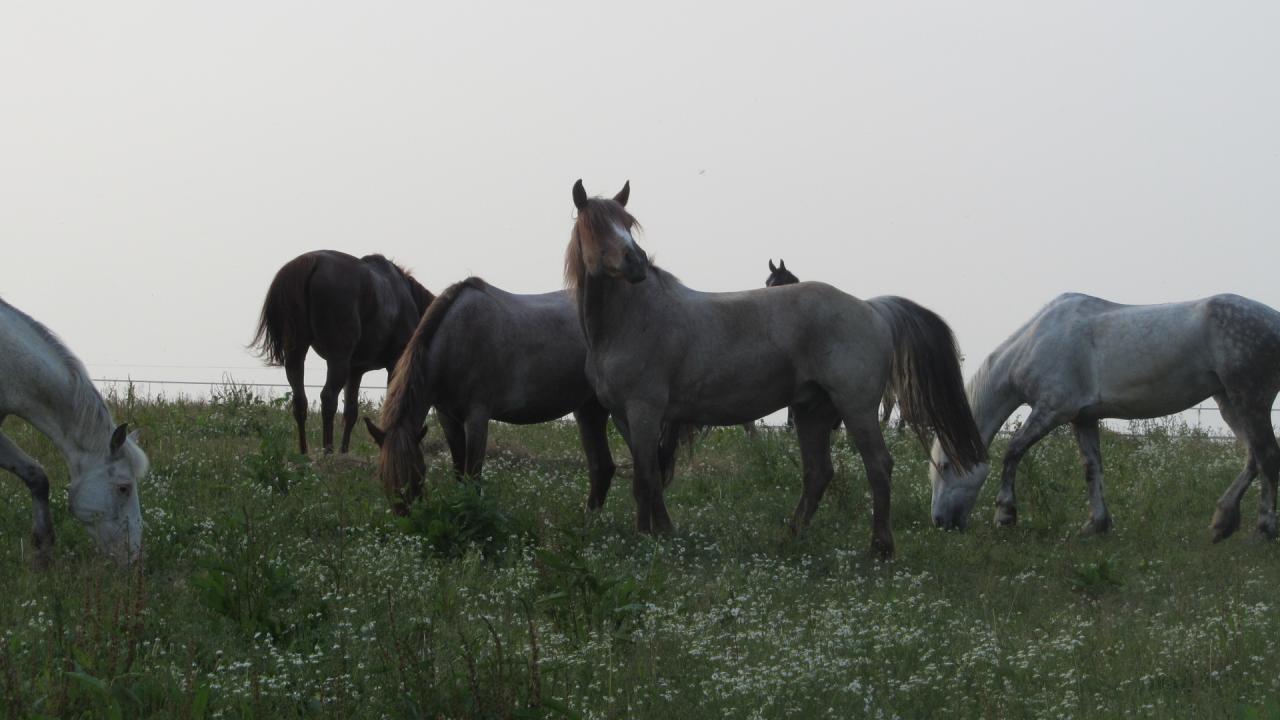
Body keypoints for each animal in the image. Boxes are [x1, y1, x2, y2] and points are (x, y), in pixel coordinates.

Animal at [249, 249, 435, 450]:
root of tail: (311, 262)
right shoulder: (393, 365)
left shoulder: (356, 370)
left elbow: (351, 412)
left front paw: (344, 451)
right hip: (338, 360)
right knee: (328, 398)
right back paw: (327, 450)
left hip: (297, 354)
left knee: (300, 401)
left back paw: (305, 452)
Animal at [366, 275, 686, 515]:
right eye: (382, 476)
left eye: (417, 475)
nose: (406, 518)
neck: (456, 338)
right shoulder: (448, 417)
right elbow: (459, 471)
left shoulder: (477, 415)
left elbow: (473, 474)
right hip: (589, 410)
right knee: (602, 468)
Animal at [565, 180, 983, 556]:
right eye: (595, 226)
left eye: (628, 223)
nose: (635, 264)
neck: (631, 320)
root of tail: (871, 308)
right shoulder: (625, 416)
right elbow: (648, 473)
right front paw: (661, 531)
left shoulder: (646, 411)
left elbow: (646, 478)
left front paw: (648, 538)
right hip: (812, 410)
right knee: (818, 473)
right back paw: (790, 538)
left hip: (856, 408)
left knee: (878, 466)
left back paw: (880, 548)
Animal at [931, 292, 1280, 538]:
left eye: (946, 466)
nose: (940, 522)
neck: (1036, 341)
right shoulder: (1083, 417)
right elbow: (1091, 467)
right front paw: (1096, 524)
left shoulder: (1052, 410)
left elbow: (1013, 451)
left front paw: (1005, 515)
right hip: (1229, 401)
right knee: (1254, 456)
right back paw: (1223, 521)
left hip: (1250, 400)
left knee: (1267, 456)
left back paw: (1263, 528)